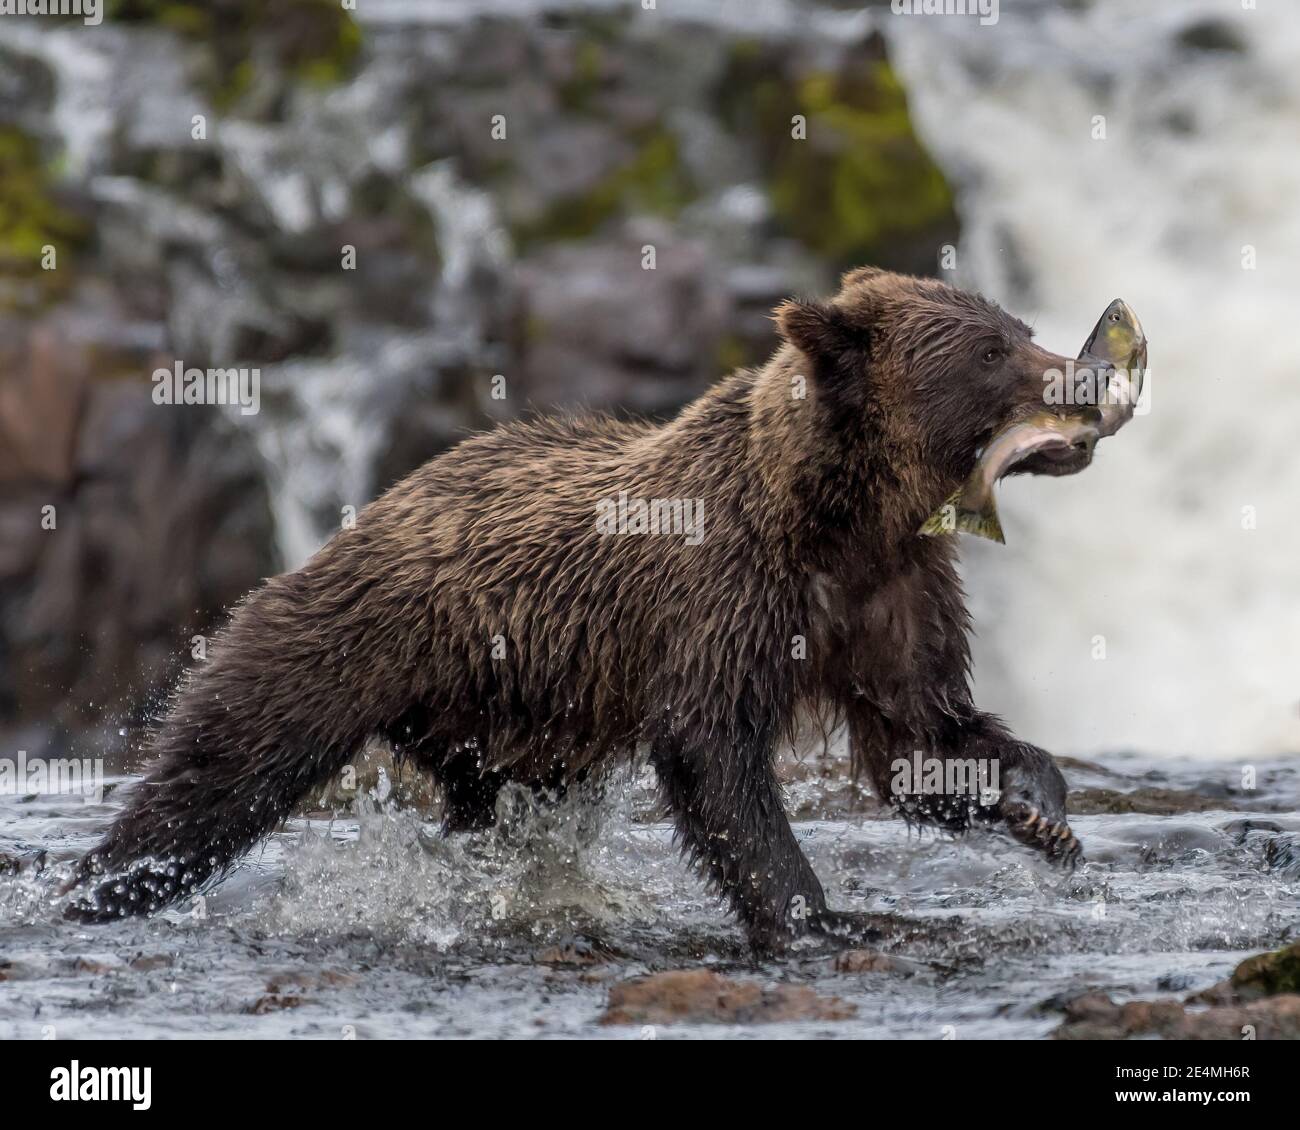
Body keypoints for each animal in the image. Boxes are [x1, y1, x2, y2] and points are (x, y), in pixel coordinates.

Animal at [68, 266, 1086, 951]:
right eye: (991, 350)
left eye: (1020, 326)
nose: (1082, 377)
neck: (839, 516)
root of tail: (369, 513)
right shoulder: (725, 593)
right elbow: (715, 757)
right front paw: (817, 914)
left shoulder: (891, 593)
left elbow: (919, 731)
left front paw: (1040, 808)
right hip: (348, 637)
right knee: (219, 771)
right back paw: (98, 886)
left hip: (510, 717)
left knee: (492, 805)